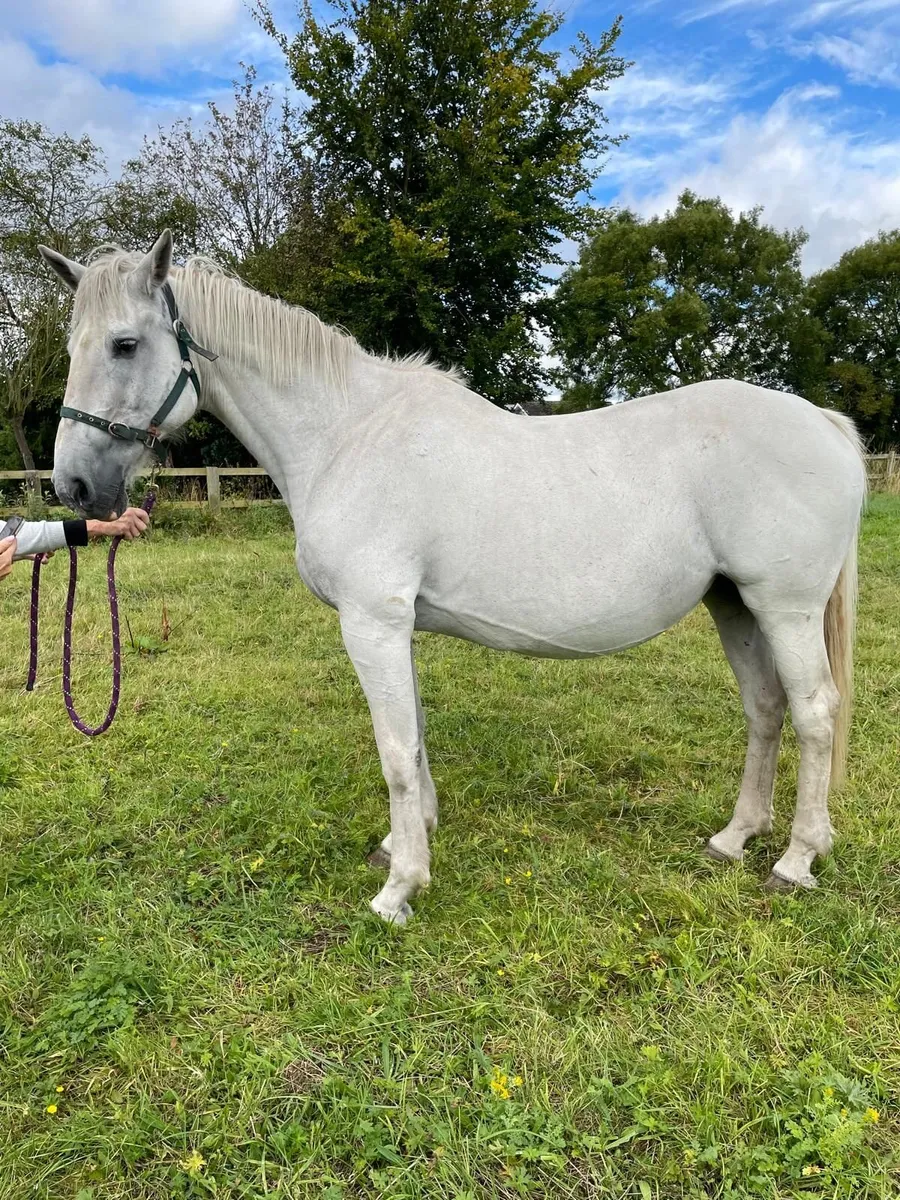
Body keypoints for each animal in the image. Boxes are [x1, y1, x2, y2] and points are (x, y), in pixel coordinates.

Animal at [38, 231, 867, 924]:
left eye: (124, 344)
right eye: (73, 345)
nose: (73, 488)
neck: (344, 434)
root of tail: (823, 422)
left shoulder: (371, 621)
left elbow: (395, 750)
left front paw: (399, 888)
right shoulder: (393, 624)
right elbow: (415, 738)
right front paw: (409, 841)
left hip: (785, 608)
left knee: (814, 714)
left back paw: (796, 859)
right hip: (734, 604)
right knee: (765, 710)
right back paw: (735, 838)